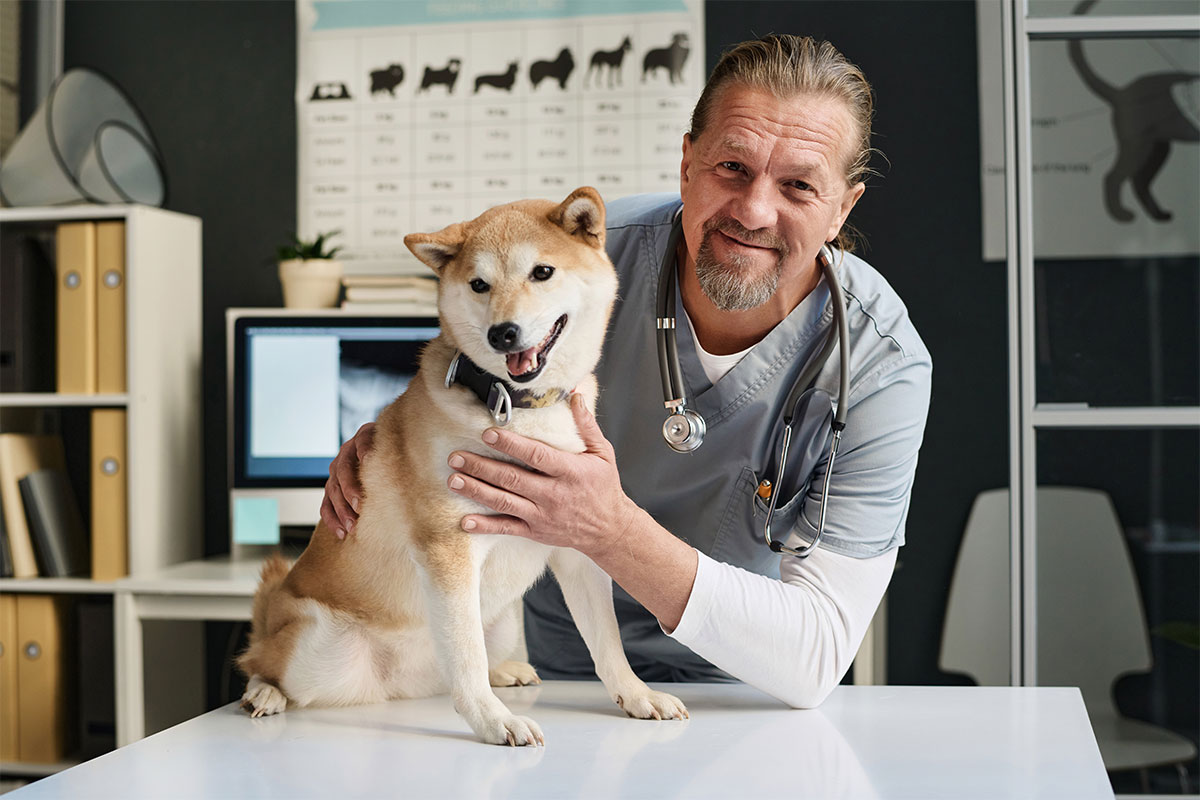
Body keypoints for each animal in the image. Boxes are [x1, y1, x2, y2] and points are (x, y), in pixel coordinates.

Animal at [236, 185, 686, 743]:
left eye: (542, 272)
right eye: (478, 284)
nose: (503, 333)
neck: (518, 408)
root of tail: (399, 684)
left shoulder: (581, 541)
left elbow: (607, 643)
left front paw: (638, 695)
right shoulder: (449, 547)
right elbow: (466, 656)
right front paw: (493, 721)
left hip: (502, 621)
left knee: (469, 660)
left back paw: (506, 671)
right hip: (313, 649)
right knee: (263, 661)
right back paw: (264, 692)